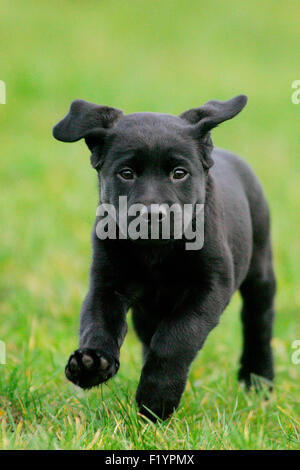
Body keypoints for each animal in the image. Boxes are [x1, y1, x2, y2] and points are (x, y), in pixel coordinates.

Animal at [52, 93, 276, 420]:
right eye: (126, 173)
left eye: (179, 173)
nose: (152, 214)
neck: (156, 250)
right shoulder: (106, 285)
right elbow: (98, 323)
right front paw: (91, 364)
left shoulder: (209, 288)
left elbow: (176, 339)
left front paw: (156, 398)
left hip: (260, 270)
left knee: (258, 322)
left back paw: (258, 379)